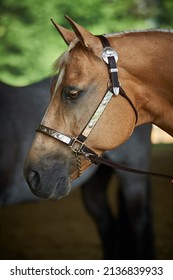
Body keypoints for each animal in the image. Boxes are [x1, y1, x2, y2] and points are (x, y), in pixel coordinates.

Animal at [0, 78, 153, 258]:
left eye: (73, 94)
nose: (33, 176)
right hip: (95, 188)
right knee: (108, 227)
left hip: (133, 180)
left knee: (137, 227)